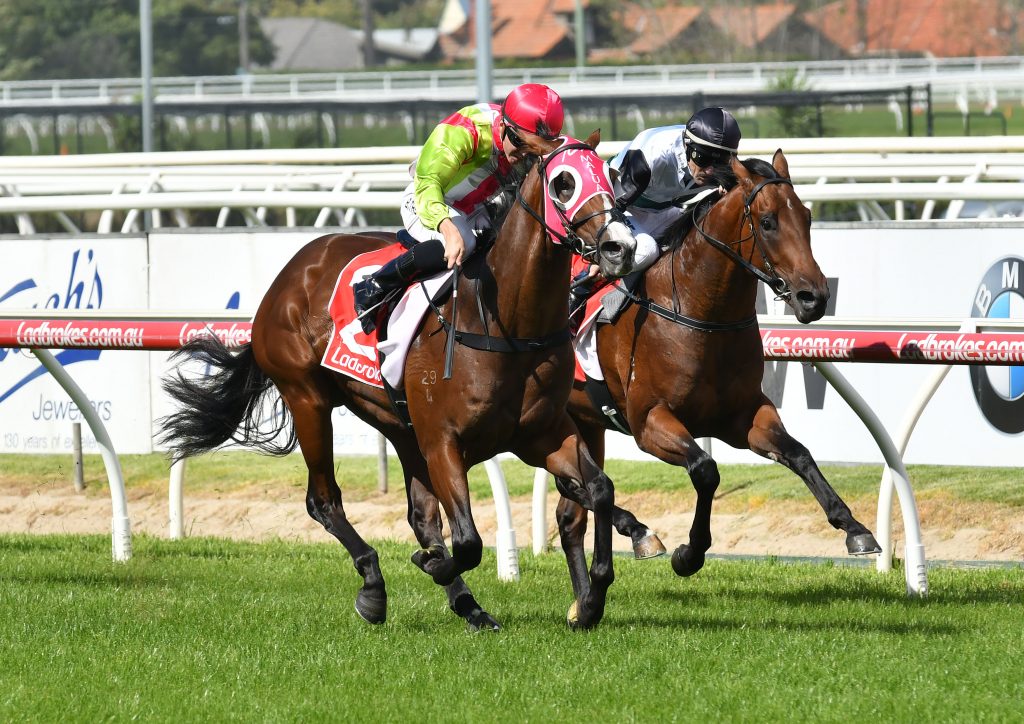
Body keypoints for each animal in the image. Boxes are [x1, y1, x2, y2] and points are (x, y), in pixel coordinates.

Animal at [159, 129, 640, 631]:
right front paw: (431, 564)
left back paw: (468, 605)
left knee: (421, 516)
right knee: (324, 499)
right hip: (308, 397)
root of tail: (287, 276)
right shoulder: (443, 441)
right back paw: (374, 586)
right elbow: (468, 541)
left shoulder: (541, 434)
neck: (504, 321)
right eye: (563, 183)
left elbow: (599, 489)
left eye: (610, 176)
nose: (620, 248)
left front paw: (591, 599)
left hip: (397, 423)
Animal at [557, 151, 881, 587]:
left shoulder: (743, 416)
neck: (701, 314)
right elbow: (706, 470)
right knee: (577, 488)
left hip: (584, 422)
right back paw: (639, 531)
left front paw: (854, 528)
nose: (813, 297)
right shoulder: (649, 422)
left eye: (808, 216)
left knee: (571, 506)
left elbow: (799, 454)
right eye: (768, 222)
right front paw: (689, 553)